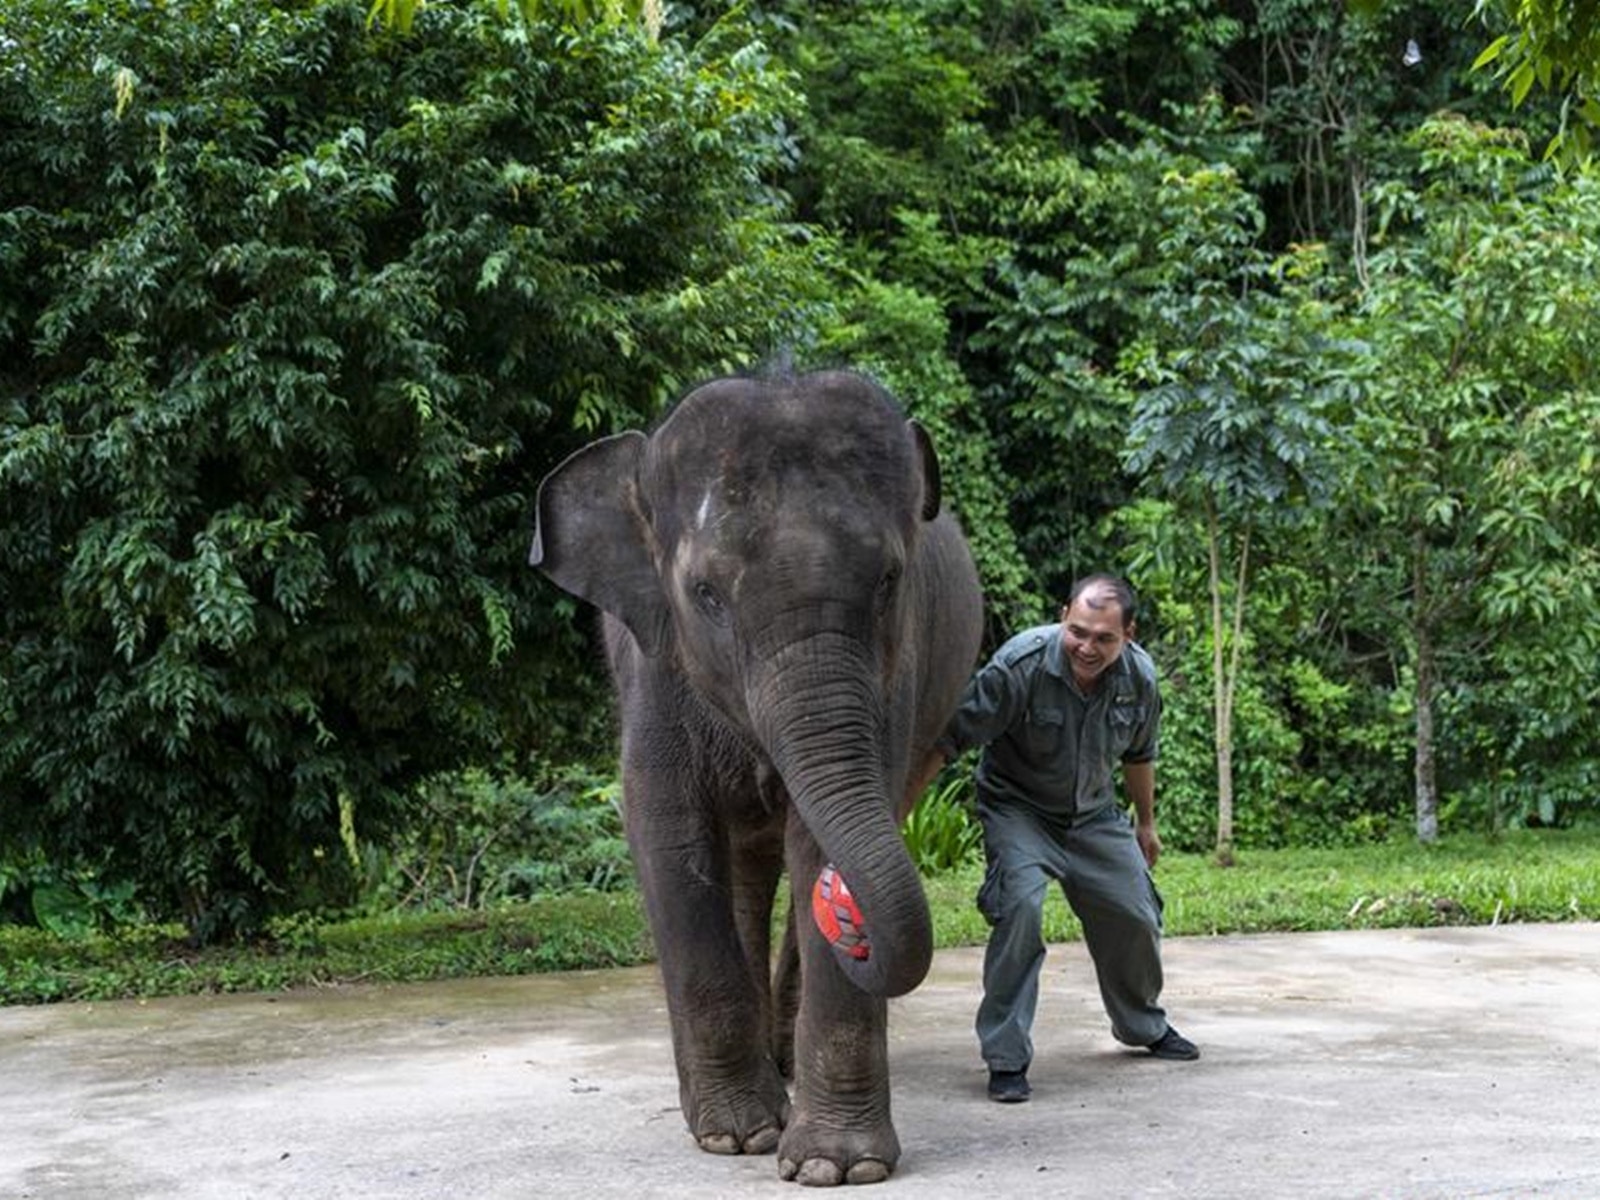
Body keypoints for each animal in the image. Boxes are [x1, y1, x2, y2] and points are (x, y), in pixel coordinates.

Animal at [531, 371, 979, 1190]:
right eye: (705, 592)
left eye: (889, 580)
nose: (854, 925)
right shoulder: (654, 670)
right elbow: (667, 835)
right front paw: (737, 1137)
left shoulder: (894, 682)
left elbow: (820, 834)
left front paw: (834, 1166)